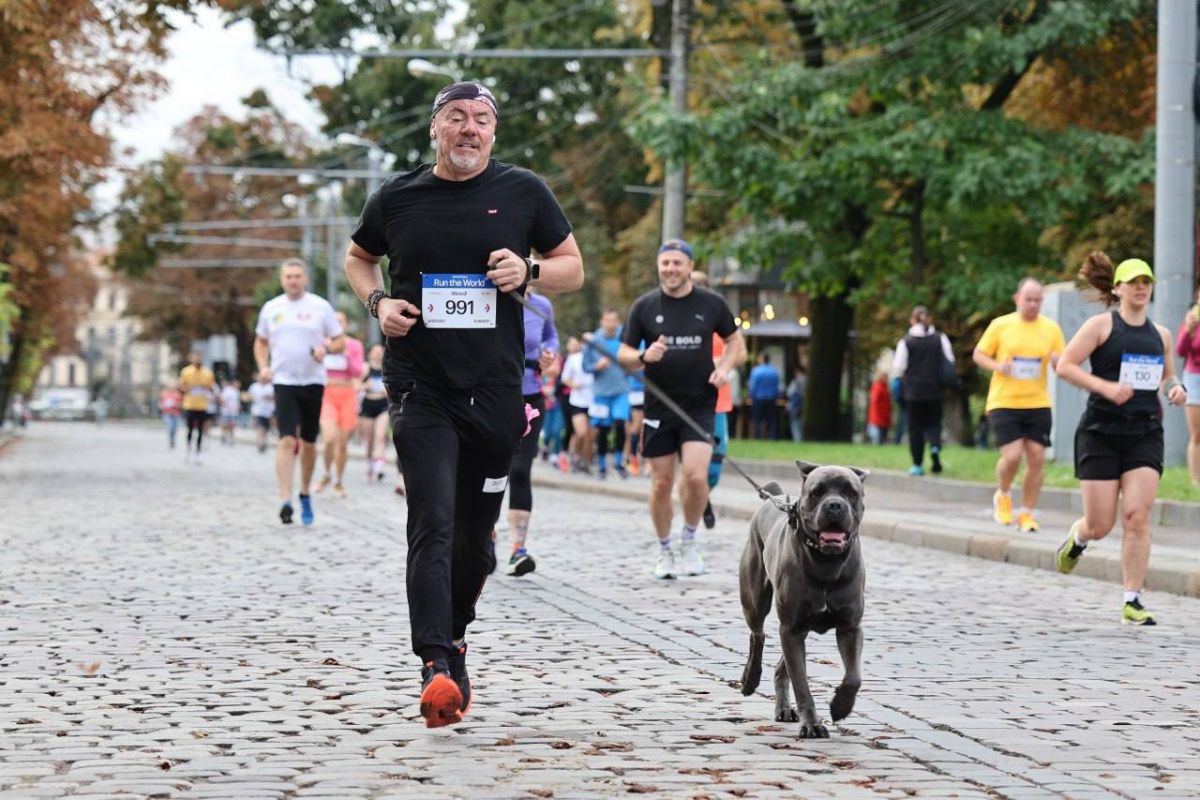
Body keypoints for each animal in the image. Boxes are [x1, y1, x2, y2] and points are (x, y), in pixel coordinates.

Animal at [734, 460, 868, 743]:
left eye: (851, 492)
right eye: (817, 492)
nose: (835, 505)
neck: (826, 562)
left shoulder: (850, 627)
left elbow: (854, 677)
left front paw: (840, 707)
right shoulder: (791, 629)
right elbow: (802, 684)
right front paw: (813, 725)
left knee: (779, 664)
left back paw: (784, 709)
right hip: (755, 600)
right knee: (757, 635)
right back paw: (750, 680)